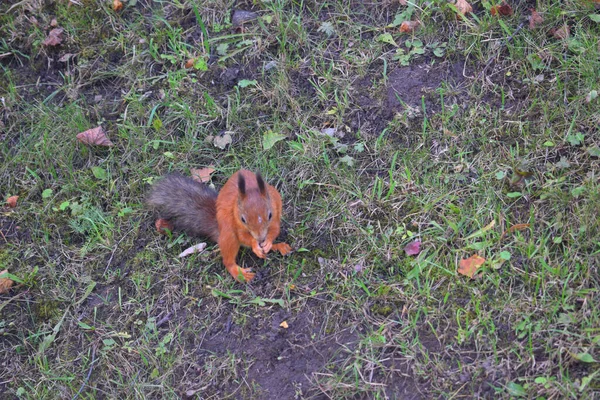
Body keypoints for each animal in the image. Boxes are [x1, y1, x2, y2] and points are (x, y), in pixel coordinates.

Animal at [148, 170, 292, 282]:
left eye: (270, 214)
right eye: (243, 219)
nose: (260, 239)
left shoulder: (276, 213)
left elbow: (274, 230)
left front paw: (268, 243)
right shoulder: (235, 220)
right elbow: (243, 237)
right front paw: (255, 246)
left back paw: (278, 246)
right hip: (228, 236)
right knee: (228, 260)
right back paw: (239, 272)